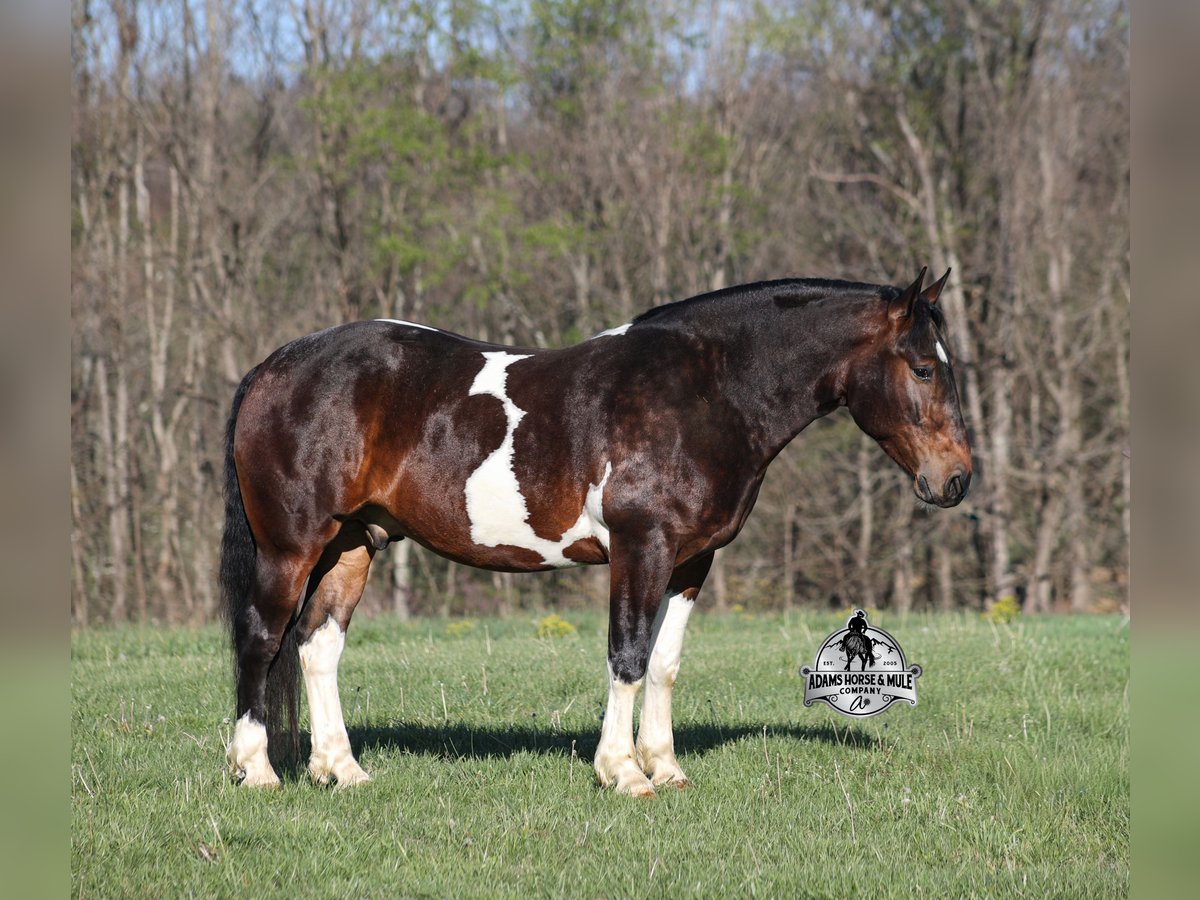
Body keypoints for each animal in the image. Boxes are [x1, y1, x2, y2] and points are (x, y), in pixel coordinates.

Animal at [222, 266, 971, 796]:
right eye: (923, 368)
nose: (957, 480)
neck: (703, 392)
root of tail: (275, 366)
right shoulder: (642, 547)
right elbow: (627, 656)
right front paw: (624, 773)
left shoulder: (691, 561)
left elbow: (664, 664)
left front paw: (665, 768)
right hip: (291, 546)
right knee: (261, 639)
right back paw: (256, 770)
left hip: (354, 543)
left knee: (318, 646)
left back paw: (341, 770)